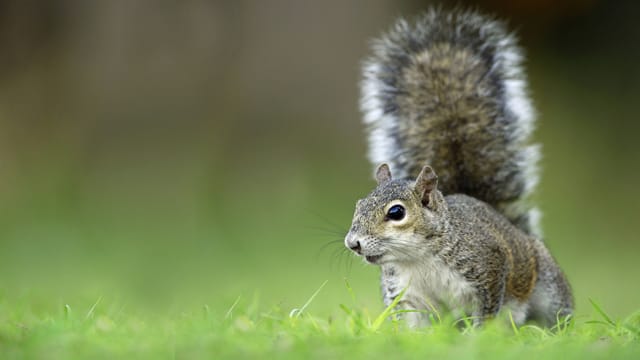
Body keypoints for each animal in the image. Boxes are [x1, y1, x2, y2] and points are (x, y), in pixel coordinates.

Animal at [344, 9, 576, 330]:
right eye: (359, 204)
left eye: (396, 212)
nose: (352, 243)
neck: (416, 258)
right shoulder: (405, 292)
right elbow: (411, 324)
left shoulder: (489, 268)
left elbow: (487, 310)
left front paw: (479, 335)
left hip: (548, 286)